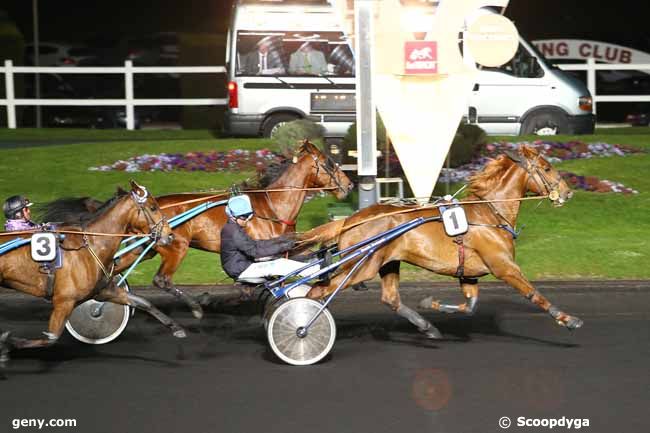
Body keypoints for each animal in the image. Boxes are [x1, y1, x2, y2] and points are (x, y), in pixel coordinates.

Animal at [0, 180, 180, 364]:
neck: (91, 245)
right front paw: (7, 344)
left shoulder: (104, 291)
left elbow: (143, 302)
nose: (170, 235)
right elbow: (51, 338)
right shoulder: (64, 301)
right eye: (153, 207)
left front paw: (176, 327)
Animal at [300, 144, 584, 338]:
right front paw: (568, 319)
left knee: (390, 298)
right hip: (362, 265)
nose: (568, 193)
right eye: (547, 168)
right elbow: (533, 293)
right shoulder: (504, 267)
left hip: (387, 262)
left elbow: (469, 306)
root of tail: (349, 220)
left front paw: (430, 303)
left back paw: (427, 327)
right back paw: (303, 326)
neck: (489, 213)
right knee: (318, 291)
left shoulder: (468, 273)